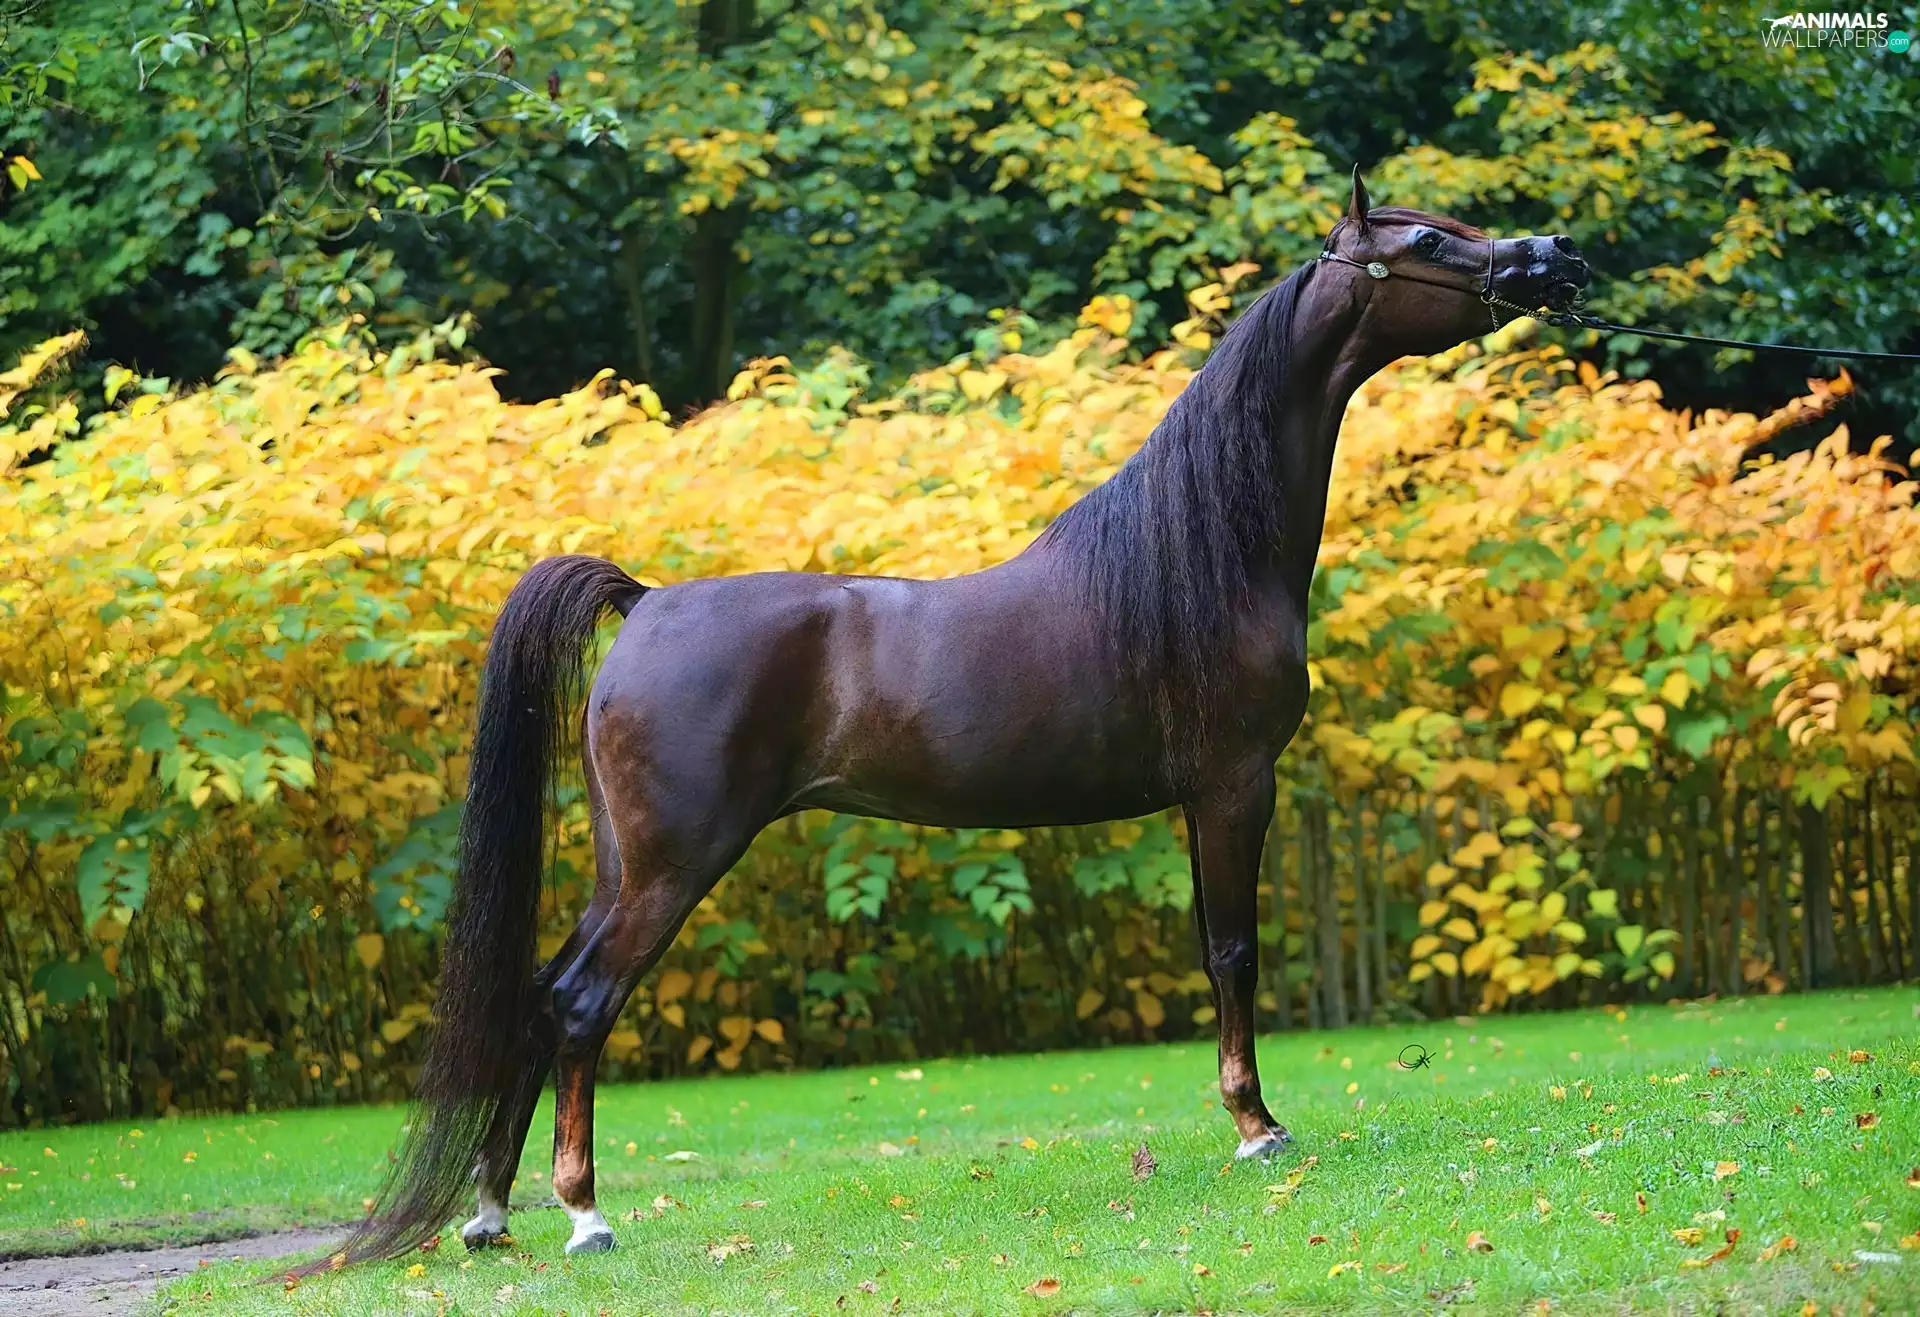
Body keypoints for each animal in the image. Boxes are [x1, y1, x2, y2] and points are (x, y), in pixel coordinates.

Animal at [312, 167, 1590, 1269]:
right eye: (1428, 243)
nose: (1559, 256)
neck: (1200, 556)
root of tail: (648, 600)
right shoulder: (1236, 783)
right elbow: (1233, 951)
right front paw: (1257, 1128)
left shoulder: (1198, 798)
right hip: (675, 863)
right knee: (582, 1003)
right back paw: (583, 1216)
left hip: (625, 863)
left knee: (541, 996)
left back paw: (490, 1213)